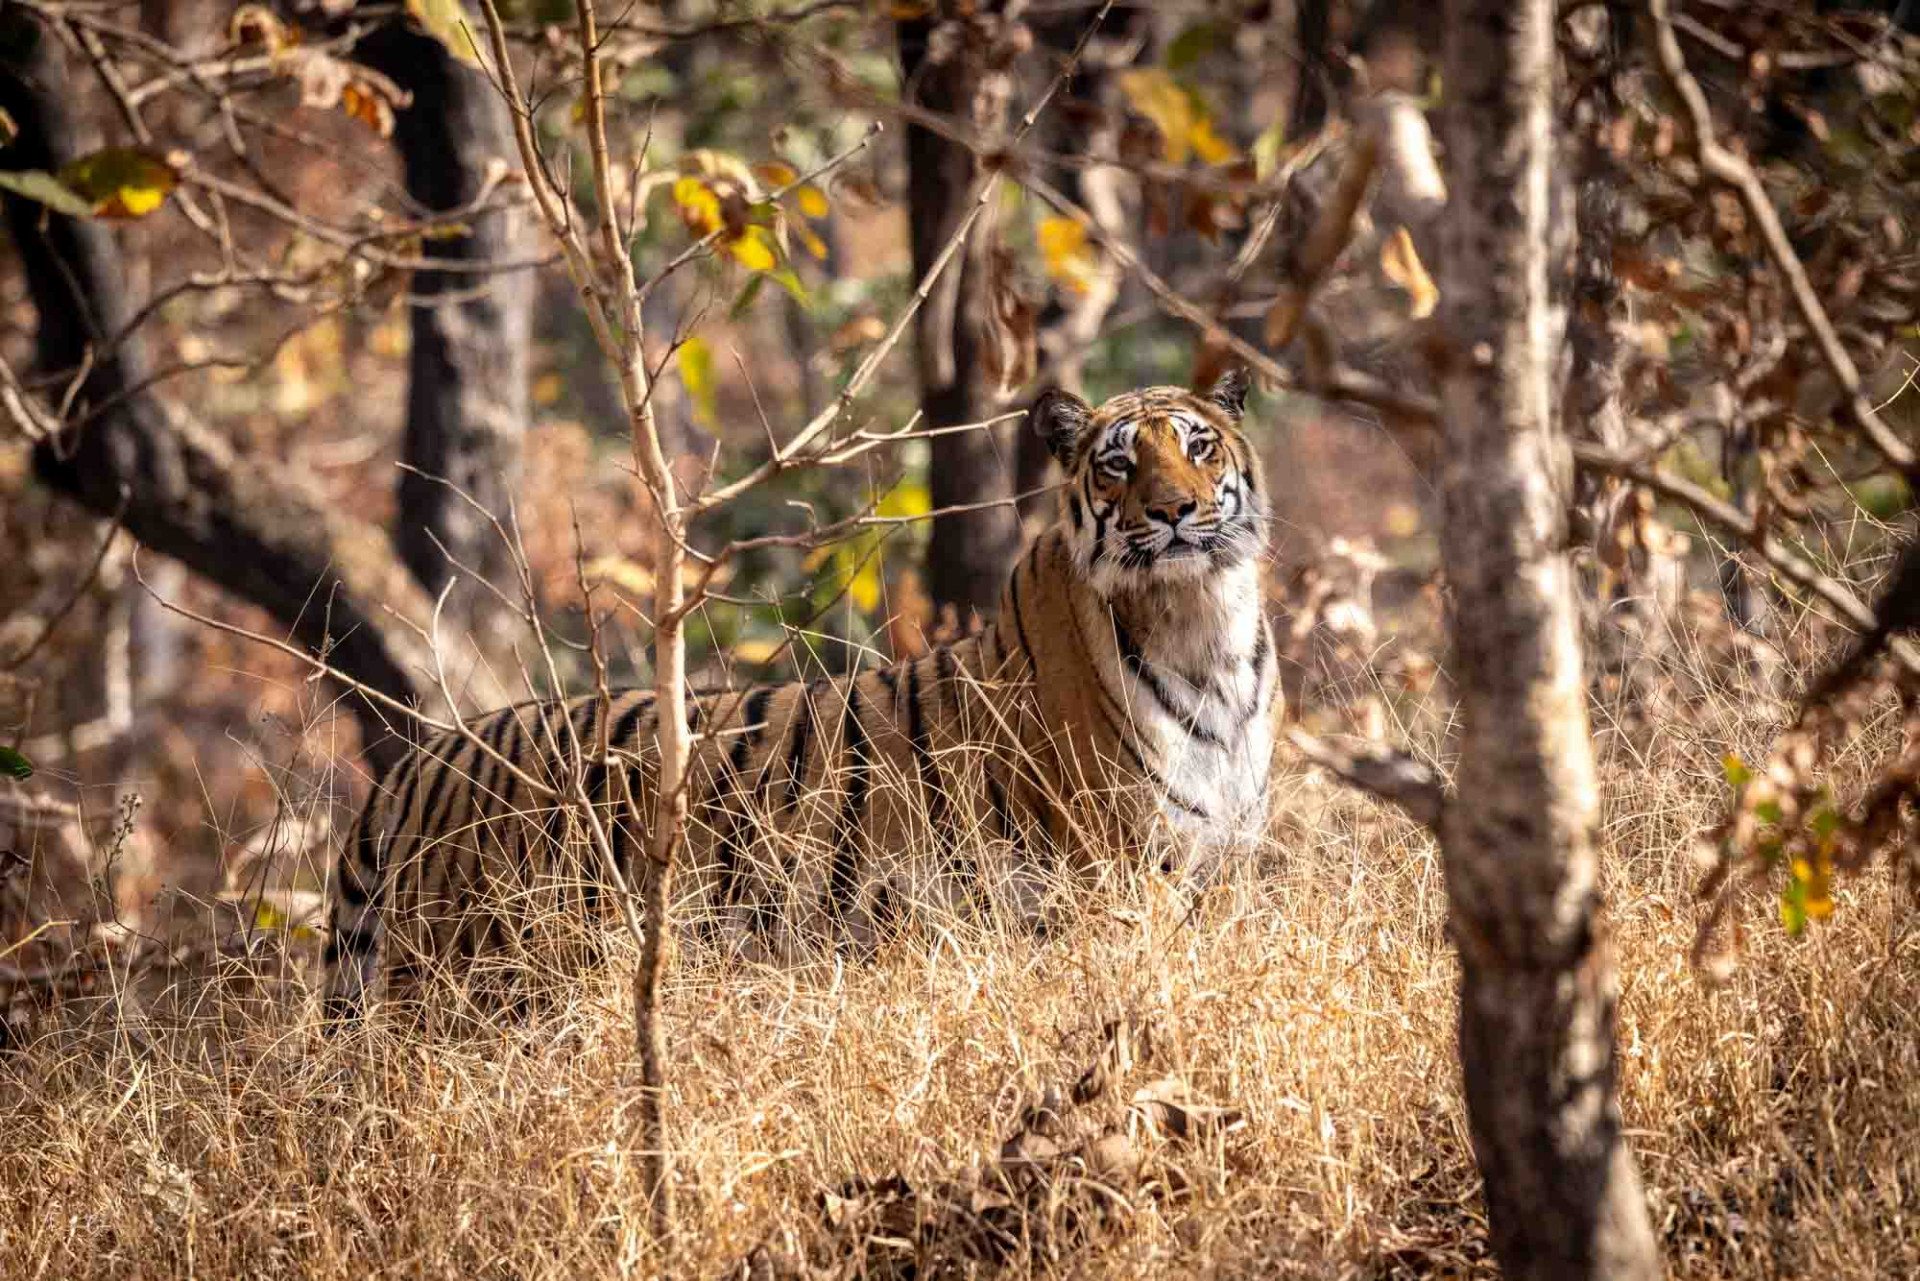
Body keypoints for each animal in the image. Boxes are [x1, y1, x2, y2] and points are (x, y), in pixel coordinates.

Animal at [323, 369, 1281, 1019]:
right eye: (1118, 465)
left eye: (1198, 447)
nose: (1175, 511)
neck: (1206, 625)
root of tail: (419, 761)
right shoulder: (1122, 876)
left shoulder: (1219, 868)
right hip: (466, 986)